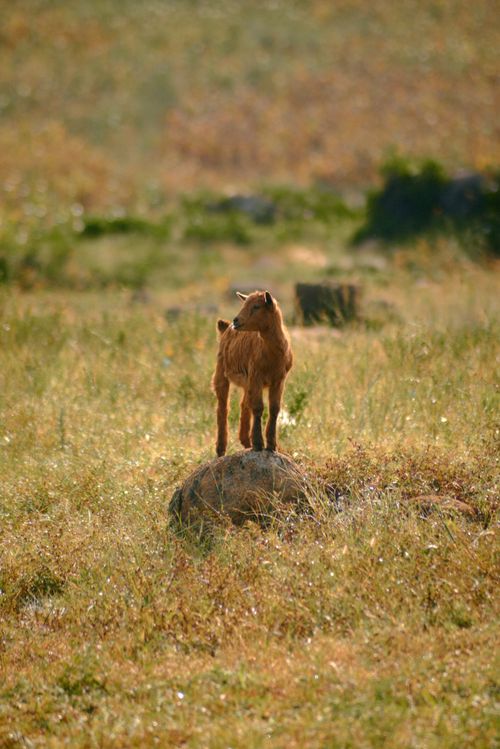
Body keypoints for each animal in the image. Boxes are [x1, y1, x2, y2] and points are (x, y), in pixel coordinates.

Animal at [212, 290, 293, 457]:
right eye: (244, 304)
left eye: (256, 306)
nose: (236, 320)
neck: (272, 355)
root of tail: (225, 328)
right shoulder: (256, 376)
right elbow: (258, 407)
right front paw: (258, 444)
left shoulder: (279, 380)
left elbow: (274, 408)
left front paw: (271, 445)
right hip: (221, 371)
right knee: (223, 408)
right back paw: (221, 449)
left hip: (247, 381)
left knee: (244, 404)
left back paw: (245, 441)